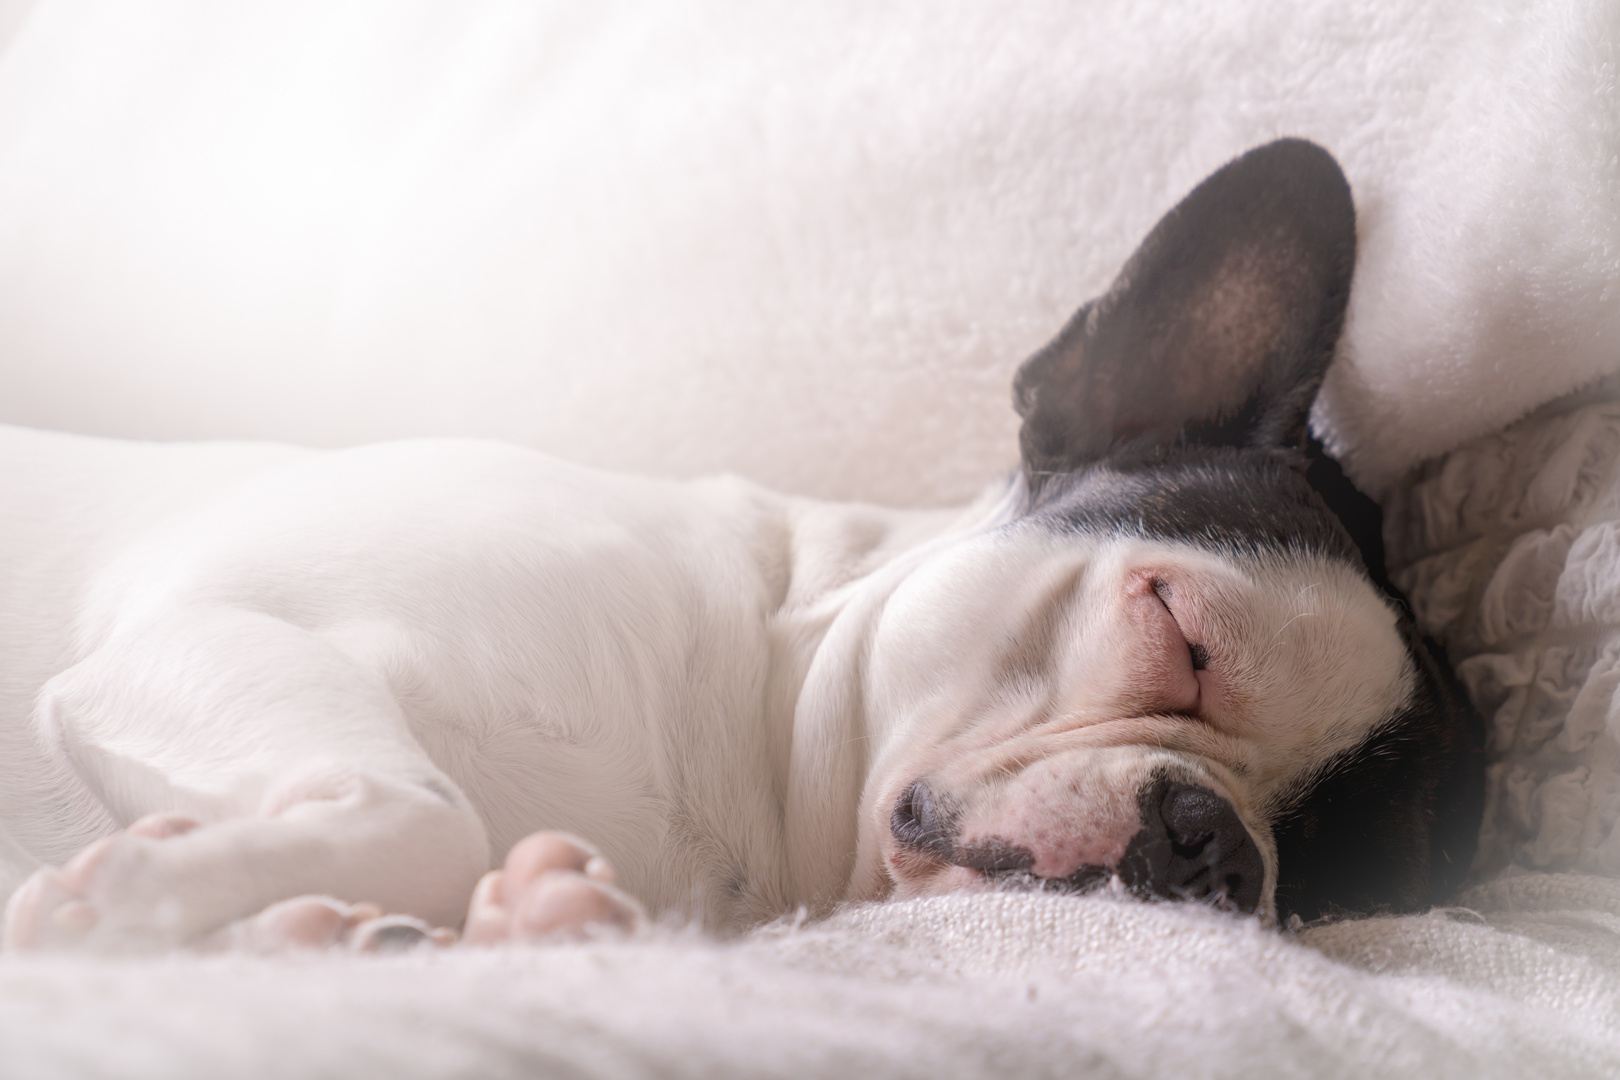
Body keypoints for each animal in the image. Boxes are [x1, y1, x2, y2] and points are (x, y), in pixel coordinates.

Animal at [0, 137, 1483, 952]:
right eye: (1181, 636)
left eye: (1328, 886)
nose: (1215, 846)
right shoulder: (209, 634)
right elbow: (426, 812)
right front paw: (132, 898)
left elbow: (442, 848)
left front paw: (447, 924)